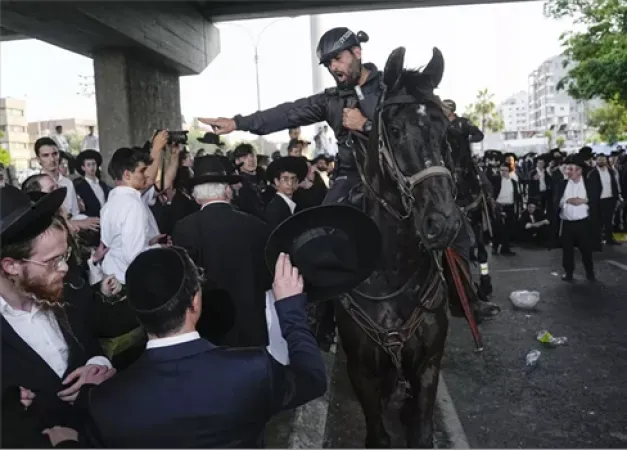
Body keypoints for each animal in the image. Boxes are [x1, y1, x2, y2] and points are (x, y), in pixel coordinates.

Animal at [338, 47, 466, 448]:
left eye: (446, 131)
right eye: (394, 130)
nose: (444, 223)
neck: (391, 270)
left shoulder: (427, 367)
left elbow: (421, 432)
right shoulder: (360, 371)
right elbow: (378, 436)